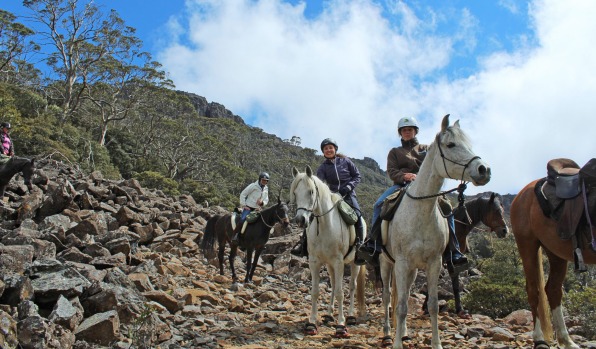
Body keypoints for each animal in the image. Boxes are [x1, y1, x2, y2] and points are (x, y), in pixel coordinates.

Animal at [290, 166, 366, 338]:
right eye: (295, 192)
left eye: (311, 191)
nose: (300, 220)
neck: (324, 225)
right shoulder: (315, 262)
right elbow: (316, 291)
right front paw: (311, 323)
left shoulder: (338, 262)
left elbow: (340, 292)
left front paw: (341, 325)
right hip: (330, 265)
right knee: (332, 282)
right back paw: (330, 314)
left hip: (354, 264)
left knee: (352, 286)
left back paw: (350, 316)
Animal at [380, 115, 492, 348]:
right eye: (451, 145)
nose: (484, 170)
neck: (420, 212)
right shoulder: (402, 262)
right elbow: (401, 306)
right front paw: (396, 344)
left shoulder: (434, 263)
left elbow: (431, 305)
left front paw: (436, 343)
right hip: (386, 263)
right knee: (387, 297)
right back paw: (387, 333)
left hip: (412, 270)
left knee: (401, 295)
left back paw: (404, 333)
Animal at [508, 179, 592, 348]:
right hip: (527, 245)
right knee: (534, 291)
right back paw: (540, 339)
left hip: (555, 251)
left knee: (553, 289)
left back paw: (566, 341)